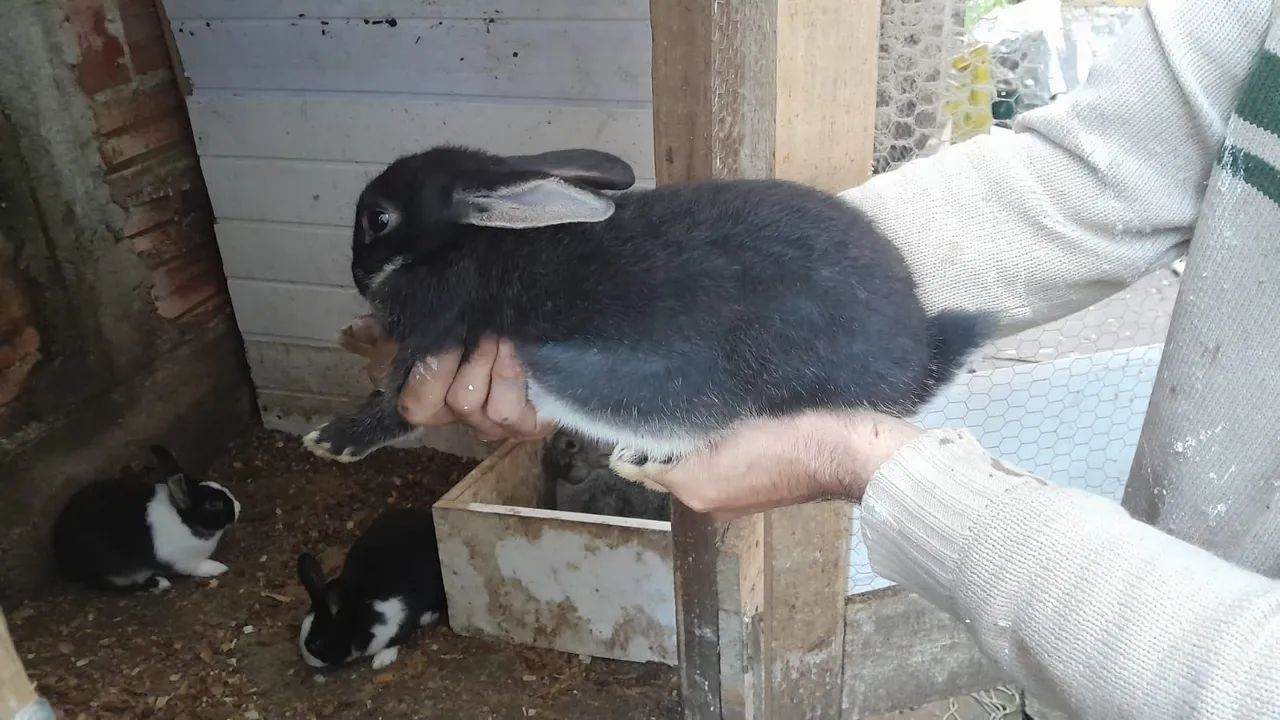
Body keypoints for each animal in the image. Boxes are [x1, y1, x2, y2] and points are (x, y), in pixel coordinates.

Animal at [51, 445, 240, 593]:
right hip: (111, 570)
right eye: (213, 504)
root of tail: (61, 556)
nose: (238, 508)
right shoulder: (182, 561)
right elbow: (197, 567)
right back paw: (159, 583)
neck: (185, 522)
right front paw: (217, 568)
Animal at [296, 507, 447, 671]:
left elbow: (397, 639)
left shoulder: (398, 617)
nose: (309, 662)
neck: (361, 613)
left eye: (318, 643)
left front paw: (381, 660)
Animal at [301, 145, 993, 486]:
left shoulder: (435, 341)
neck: (470, 241)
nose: (357, 278)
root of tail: (917, 361)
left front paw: (333, 440)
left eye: (379, 219)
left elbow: (395, 403)